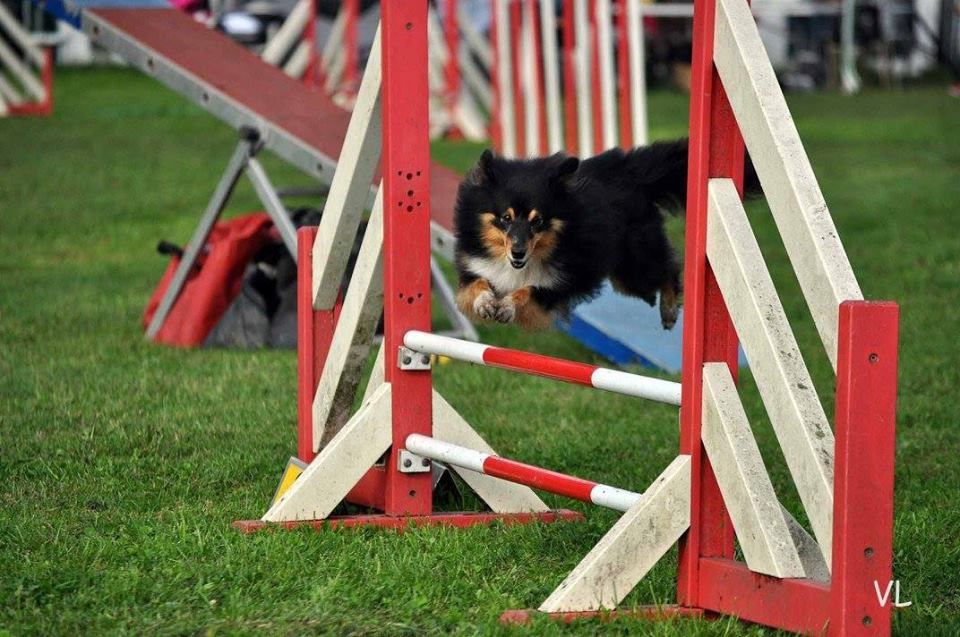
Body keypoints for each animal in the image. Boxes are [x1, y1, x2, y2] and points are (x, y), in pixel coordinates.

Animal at [454, 139, 692, 328]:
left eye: (537, 221)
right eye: (506, 218)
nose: (518, 253)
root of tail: (631, 172)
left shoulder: (559, 285)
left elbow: (528, 290)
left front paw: (507, 306)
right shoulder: (474, 267)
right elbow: (476, 284)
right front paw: (485, 302)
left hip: (635, 268)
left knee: (669, 268)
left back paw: (669, 310)